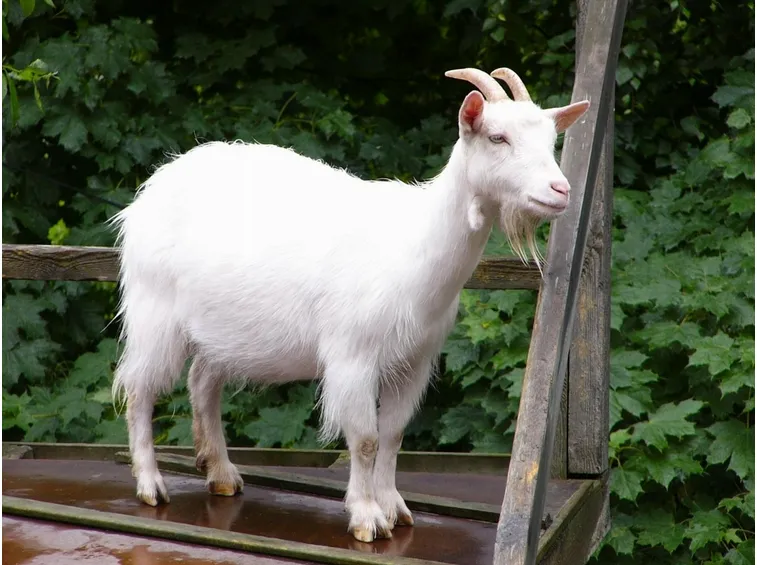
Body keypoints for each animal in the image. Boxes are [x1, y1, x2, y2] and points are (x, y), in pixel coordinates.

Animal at [110, 67, 589, 543]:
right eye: (496, 137)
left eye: (552, 140)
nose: (560, 190)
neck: (416, 244)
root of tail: (154, 187)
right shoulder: (353, 355)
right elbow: (365, 438)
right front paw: (366, 516)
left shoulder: (415, 361)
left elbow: (393, 434)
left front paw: (394, 507)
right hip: (154, 312)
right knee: (138, 389)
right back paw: (150, 484)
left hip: (221, 330)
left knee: (202, 383)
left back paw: (222, 473)